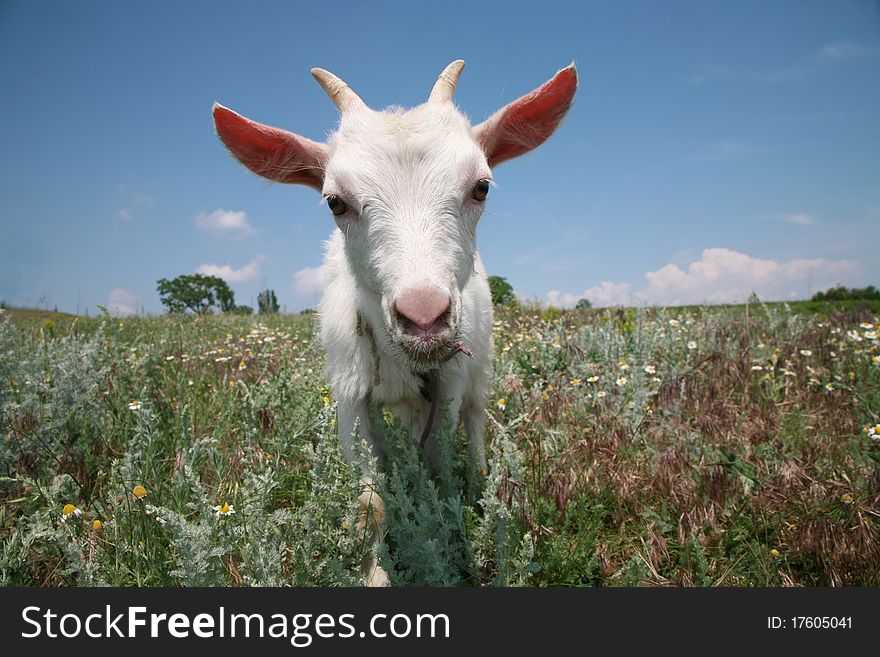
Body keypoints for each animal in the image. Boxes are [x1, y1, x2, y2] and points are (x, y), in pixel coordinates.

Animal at [215, 61, 576, 584]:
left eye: (481, 187)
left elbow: (439, 465)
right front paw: (376, 573)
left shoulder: (448, 382)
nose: (424, 317)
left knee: (476, 419)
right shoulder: (349, 392)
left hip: (481, 368)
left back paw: (480, 479)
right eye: (335, 202)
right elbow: (370, 504)